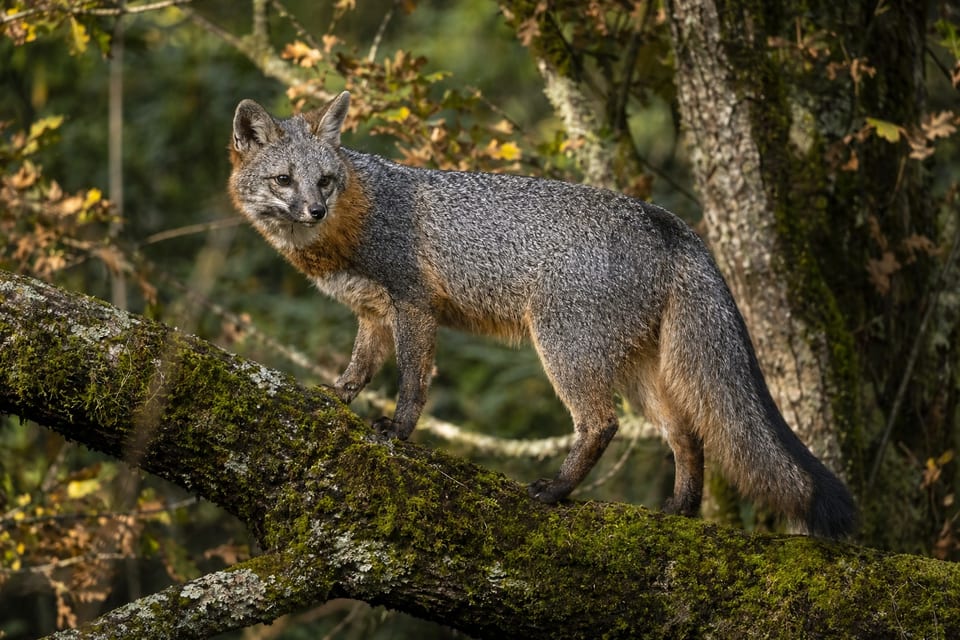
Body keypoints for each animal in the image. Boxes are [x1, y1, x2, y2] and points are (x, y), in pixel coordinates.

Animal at [228, 90, 856, 538]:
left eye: (325, 180)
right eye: (283, 181)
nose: (314, 209)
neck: (352, 221)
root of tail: (665, 219)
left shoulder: (413, 304)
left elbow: (412, 383)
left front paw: (399, 433)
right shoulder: (373, 314)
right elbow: (358, 369)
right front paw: (335, 397)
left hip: (564, 349)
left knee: (602, 424)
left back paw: (556, 493)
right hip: (638, 369)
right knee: (687, 433)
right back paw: (678, 510)